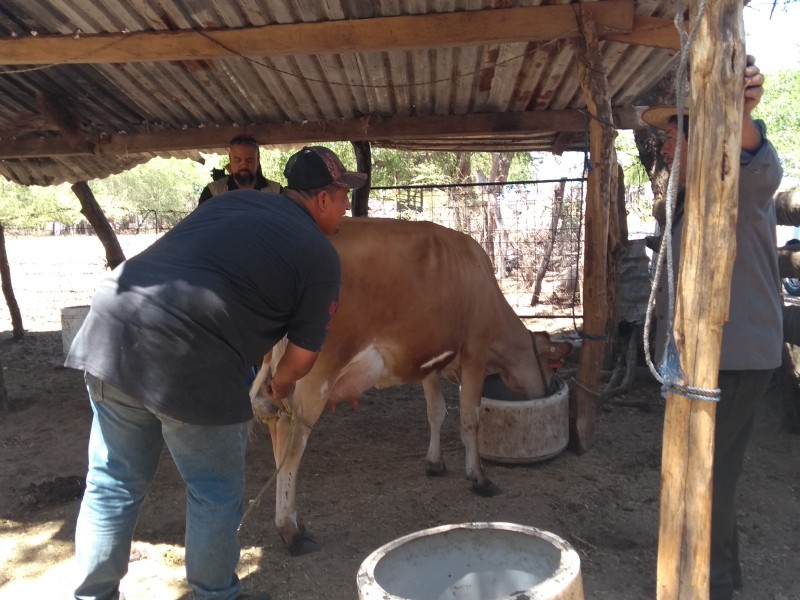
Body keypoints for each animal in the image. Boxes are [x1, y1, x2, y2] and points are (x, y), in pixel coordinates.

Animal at [253, 216, 572, 552]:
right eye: (552, 366)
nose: (547, 390)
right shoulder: (476, 350)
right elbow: (469, 417)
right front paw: (479, 477)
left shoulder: (428, 359)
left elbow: (436, 411)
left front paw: (435, 463)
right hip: (318, 370)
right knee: (291, 438)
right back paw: (291, 530)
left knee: (276, 427)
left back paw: (294, 522)